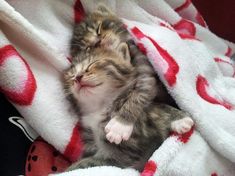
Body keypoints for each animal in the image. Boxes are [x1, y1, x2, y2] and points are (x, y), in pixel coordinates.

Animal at [63, 43, 194, 171]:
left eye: (93, 63)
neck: (100, 106)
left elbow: (88, 163)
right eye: (71, 75)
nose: (77, 77)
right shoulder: (90, 140)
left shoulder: (124, 154)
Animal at [70, 4, 174, 144]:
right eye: (88, 47)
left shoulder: (144, 66)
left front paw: (120, 125)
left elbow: (141, 92)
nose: (98, 41)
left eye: (98, 28)